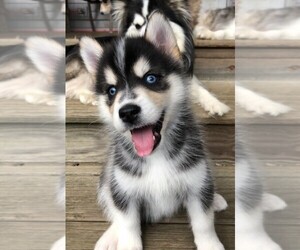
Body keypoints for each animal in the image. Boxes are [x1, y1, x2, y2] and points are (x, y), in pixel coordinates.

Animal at [81, 11, 226, 250]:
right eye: (111, 91)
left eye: (151, 78)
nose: (127, 112)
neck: (155, 156)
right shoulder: (124, 189)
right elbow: (127, 225)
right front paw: (124, 240)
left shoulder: (196, 181)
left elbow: (203, 224)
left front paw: (211, 244)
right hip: (109, 177)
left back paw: (215, 199)